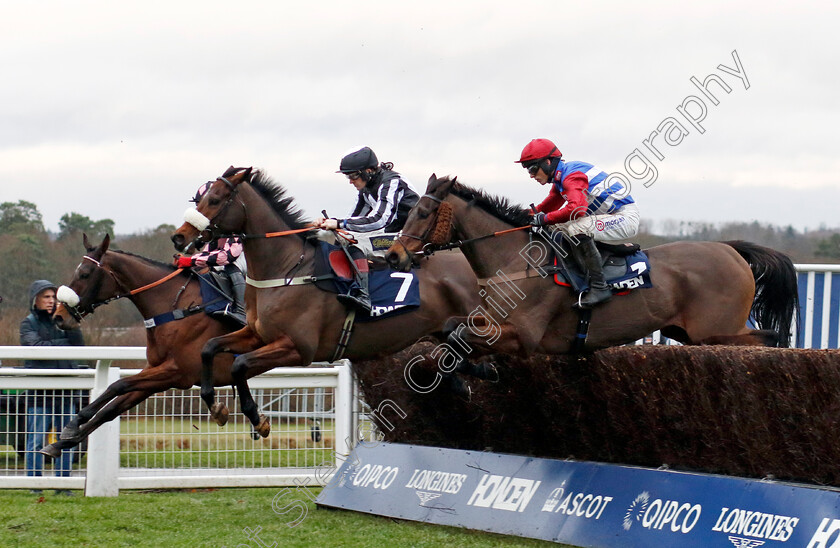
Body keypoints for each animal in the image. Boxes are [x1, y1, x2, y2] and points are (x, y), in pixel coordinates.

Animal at [170, 165, 480, 434]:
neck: (287, 268)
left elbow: (239, 365)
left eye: (214, 199)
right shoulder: (257, 334)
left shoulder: (298, 348)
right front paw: (215, 405)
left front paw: (257, 418)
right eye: (201, 199)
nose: (179, 237)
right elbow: (209, 348)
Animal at [384, 173, 796, 358]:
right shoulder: (487, 321)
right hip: (686, 331)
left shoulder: (523, 335)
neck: (515, 262)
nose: (394, 255)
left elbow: (459, 334)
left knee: (769, 339)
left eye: (422, 212)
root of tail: (731, 250)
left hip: (716, 330)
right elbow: (451, 327)